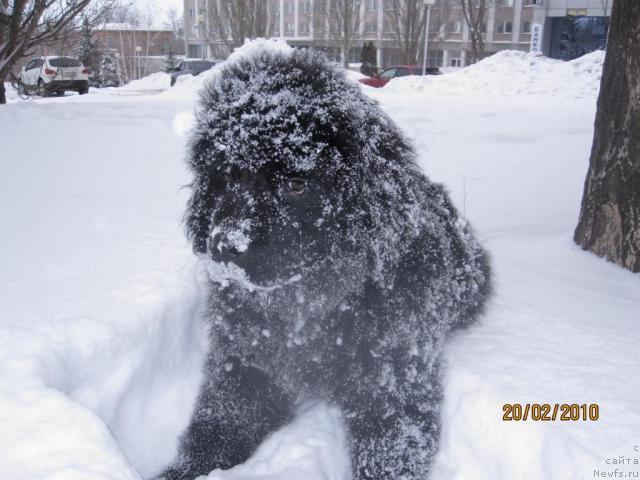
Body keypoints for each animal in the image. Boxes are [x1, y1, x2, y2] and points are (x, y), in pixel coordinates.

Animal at [160, 43, 490, 480]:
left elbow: (388, 454)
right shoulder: (244, 364)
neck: (309, 306)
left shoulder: (394, 381)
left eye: (296, 184)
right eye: (227, 177)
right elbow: (216, 429)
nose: (227, 245)